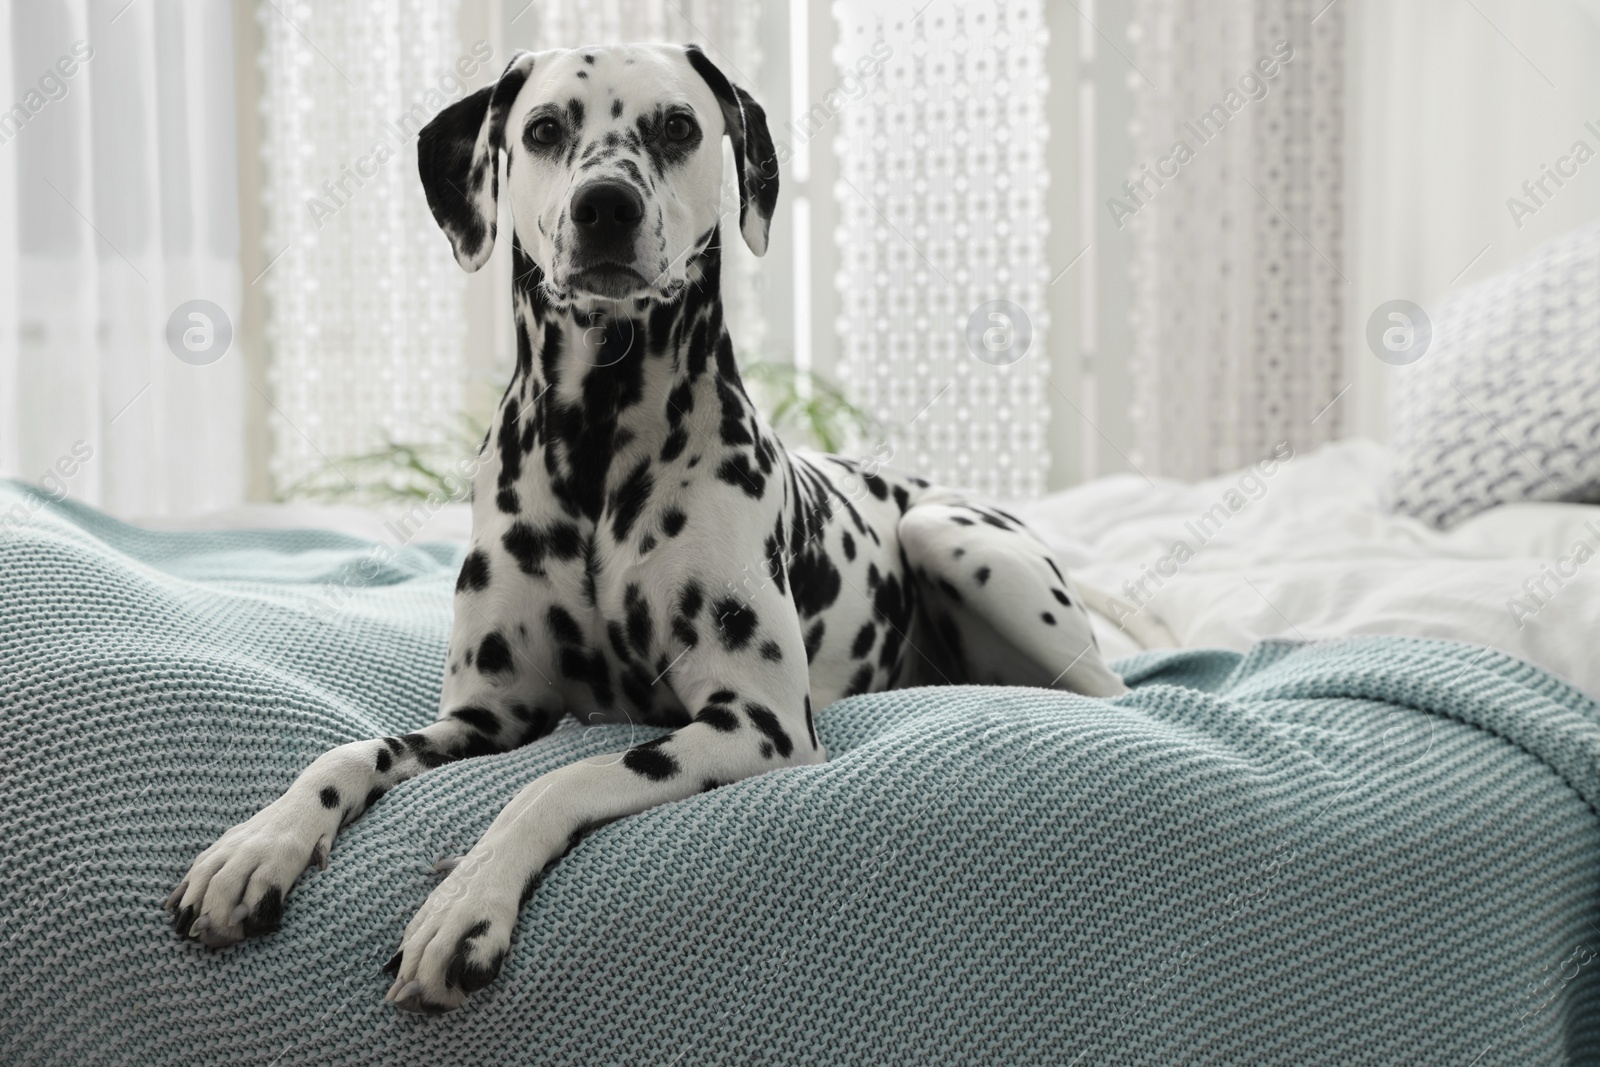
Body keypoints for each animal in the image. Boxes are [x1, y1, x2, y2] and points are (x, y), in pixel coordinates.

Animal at [162, 43, 1126, 1017]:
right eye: (544, 129)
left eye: (677, 126)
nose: (605, 206)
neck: (597, 439)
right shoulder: (483, 716)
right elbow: (349, 749)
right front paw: (258, 843)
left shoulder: (756, 723)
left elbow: (561, 777)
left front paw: (466, 901)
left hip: (957, 541)